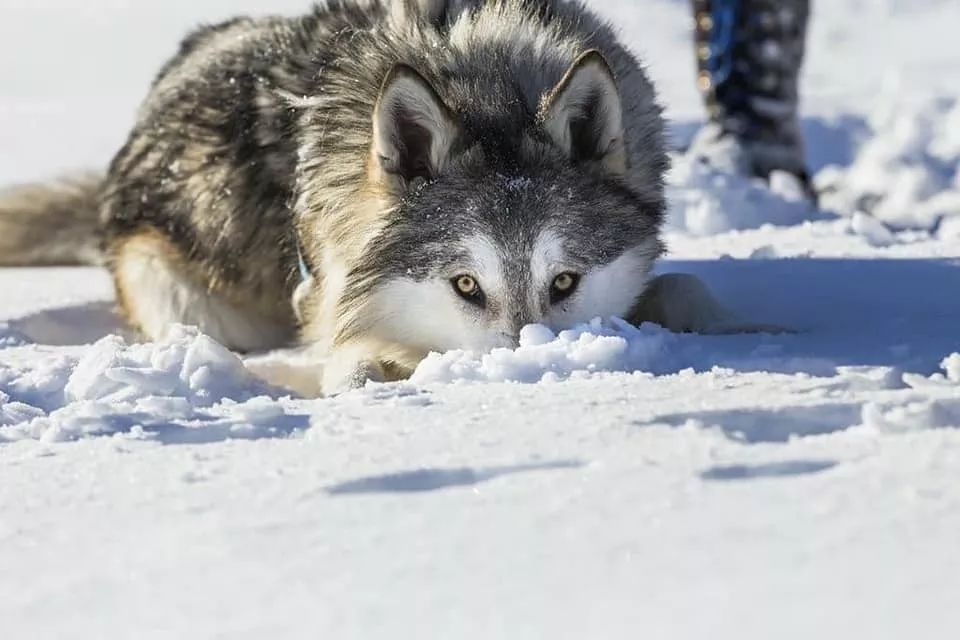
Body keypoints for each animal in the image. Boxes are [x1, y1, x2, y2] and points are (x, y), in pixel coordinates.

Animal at [0, 1, 720, 396]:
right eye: (465, 285)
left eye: (565, 281)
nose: (524, 374)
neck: (485, 77)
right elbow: (350, 370)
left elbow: (687, 291)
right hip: (187, 298)